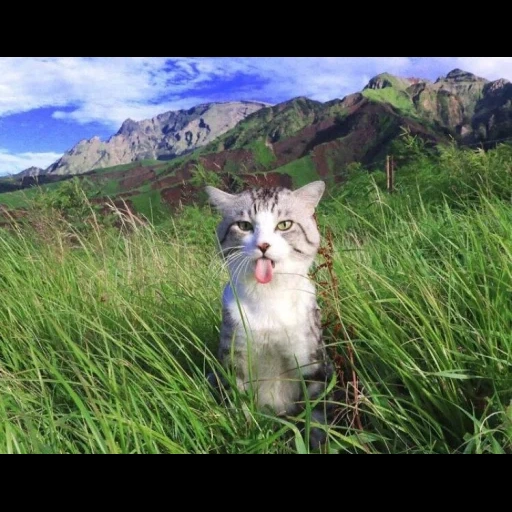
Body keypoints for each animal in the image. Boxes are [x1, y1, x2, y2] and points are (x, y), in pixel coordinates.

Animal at [206, 180, 334, 448]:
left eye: (284, 224)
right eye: (244, 225)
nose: (263, 245)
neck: (269, 296)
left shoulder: (312, 361)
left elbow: (316, 415)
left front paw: (316, 442)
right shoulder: (234, 361)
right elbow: (241, 410)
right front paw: (249, 435)